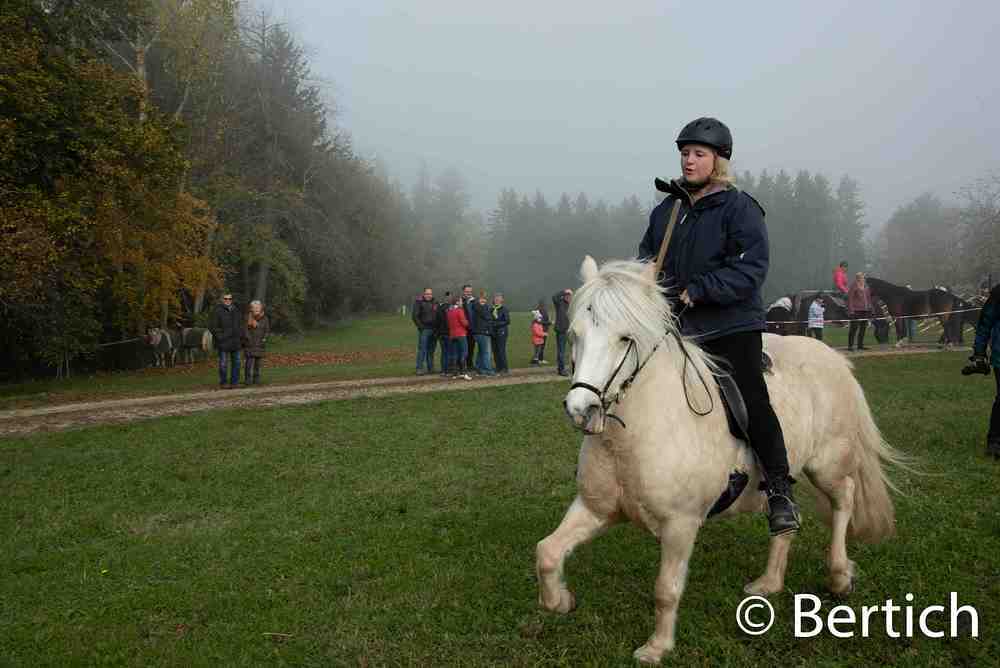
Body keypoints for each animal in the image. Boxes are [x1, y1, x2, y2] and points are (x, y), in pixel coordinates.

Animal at [539, 257, 908, 663]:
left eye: (626, 338)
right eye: (574, 334)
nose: (581, 410)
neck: (636, 433)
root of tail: (834, 359)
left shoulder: (680, 524)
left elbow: (665, 589)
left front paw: (656, 648)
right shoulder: (596, 509)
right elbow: (547, 552)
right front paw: (561, 601)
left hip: (827, 463)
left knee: (845, 499)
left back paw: (840, 576)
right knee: (786, 518)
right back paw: (769, 582)